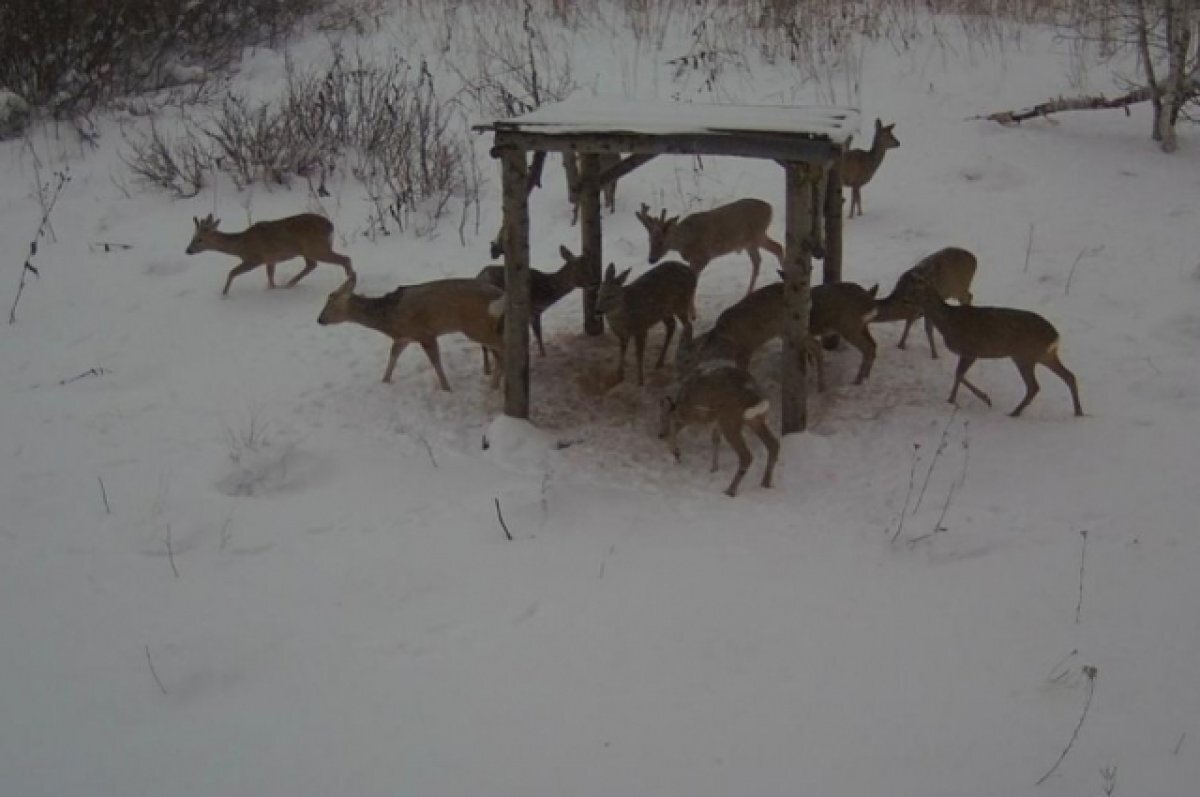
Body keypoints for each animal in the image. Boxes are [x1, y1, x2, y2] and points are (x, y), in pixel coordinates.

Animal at [183, 211, 350, 295]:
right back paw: (289, 284)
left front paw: (223, 294)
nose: (188, 250)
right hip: (307, 251)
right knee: (312, 265)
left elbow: (232, 272)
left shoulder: (255, 258)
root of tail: (331, 226)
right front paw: (272, 289)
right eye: (192, 237)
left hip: (316, 248)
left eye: (199, 239)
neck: (240, 246)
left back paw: (348, 280)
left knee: (344, 258)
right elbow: (270, 276)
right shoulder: (270, 259)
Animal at [316, 273, 504, 391]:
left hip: (476, 327)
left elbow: (436, 362)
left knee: (502, 348)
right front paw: (384, 381)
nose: (319, 319)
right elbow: (393, 356)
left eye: (330, 301)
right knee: (499, 355)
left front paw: (447, 389)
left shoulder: (425, 333)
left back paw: (495, 384)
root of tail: (500, 293)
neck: (389, 319)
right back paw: (494, 384)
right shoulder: (403, 337)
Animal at [633, 199, 782, 298]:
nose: (651, 259)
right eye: (649, 240)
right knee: (758, 260)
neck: (686, 240)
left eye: (661, 242)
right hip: (749, 242)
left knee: (777, 247)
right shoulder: (693, 260)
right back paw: (748, 293)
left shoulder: (705, 256)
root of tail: (770, 208)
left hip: (757, 235)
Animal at [662, 362, 782, 499]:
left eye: (662, 418)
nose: (660, 434)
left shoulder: (697, 415)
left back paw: (730, 490)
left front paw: (676, 453)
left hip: (730, 420)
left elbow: (675, 424)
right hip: (755, 419)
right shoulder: (716, 420)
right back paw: (765, 483)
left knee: (746, 455)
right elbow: (715, 439)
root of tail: (755, 397)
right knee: (773, 444)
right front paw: (714, 468)